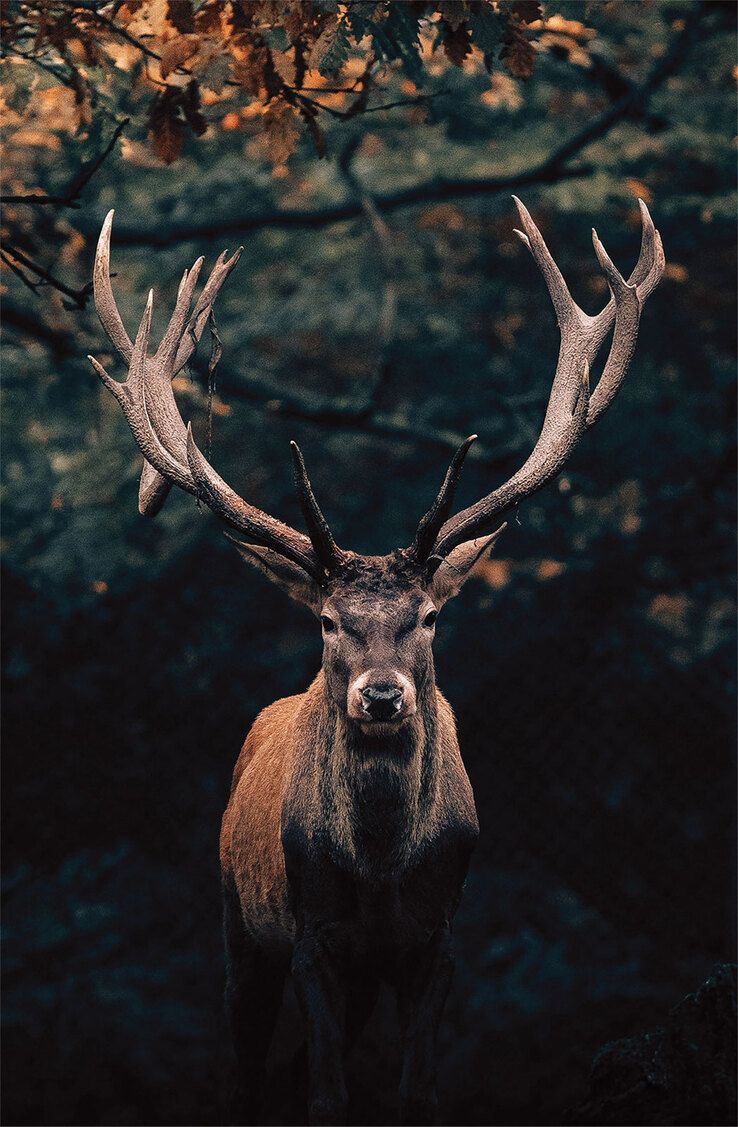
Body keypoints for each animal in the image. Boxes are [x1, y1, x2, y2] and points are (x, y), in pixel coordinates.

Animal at [89, 197, 664, 1126]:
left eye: (428, 616)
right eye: (328, 621)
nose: (383, 696)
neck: (385, 868)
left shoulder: (440, 937)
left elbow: (416, 1089)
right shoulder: (314, 933)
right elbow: (326, 1094)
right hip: (237, 917)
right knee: (248, 1069)